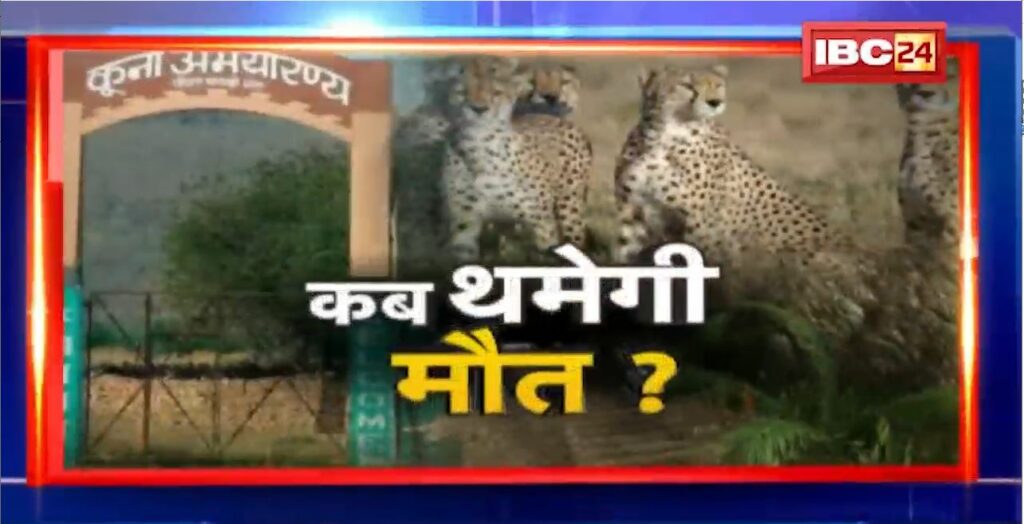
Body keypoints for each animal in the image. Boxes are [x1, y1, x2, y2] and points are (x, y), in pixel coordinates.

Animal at [441, 55, 593, 263]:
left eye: (495, 93)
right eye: (462, 93)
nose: (479, 109)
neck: (480, 147)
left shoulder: (541, 223)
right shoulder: (464, 223)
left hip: (569, 206)